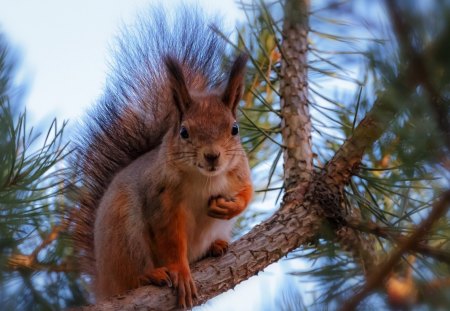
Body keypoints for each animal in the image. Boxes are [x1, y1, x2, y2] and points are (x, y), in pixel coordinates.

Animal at [71, 7, 253, 310]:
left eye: (235, 129)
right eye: (184, 131)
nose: (212, 156)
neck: (205, 179)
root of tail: (103, 283)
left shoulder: (239, 172)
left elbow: (248, 193)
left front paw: (230, 207)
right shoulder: (162, 199)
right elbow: (171, 240)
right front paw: (180, 271)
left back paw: (216, 246)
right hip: (124, 233)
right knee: (132, 276)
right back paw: (151, 274)